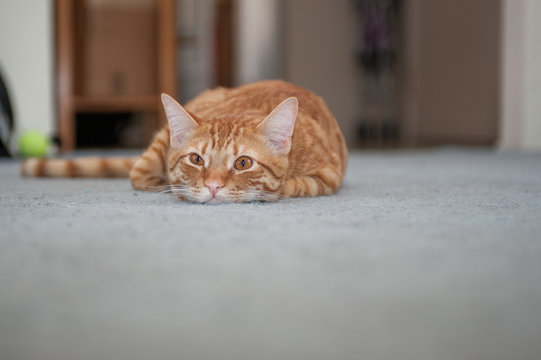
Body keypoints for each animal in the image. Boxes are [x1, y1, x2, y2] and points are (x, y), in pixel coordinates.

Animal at [21, 80, 346, 202]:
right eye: (196, 159)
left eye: (243, 163)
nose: (213, 186)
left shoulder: (327, 176)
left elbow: (289, 188)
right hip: (160, 141)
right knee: (138, 174)